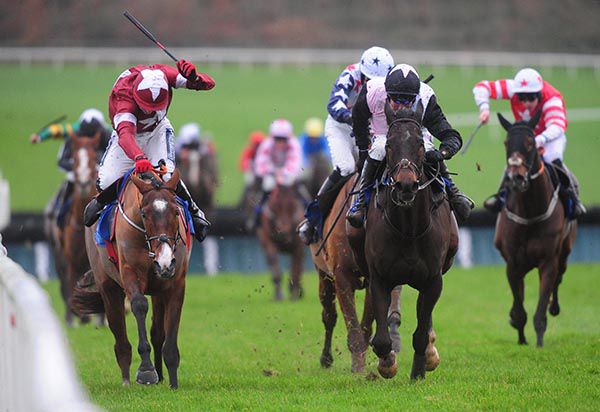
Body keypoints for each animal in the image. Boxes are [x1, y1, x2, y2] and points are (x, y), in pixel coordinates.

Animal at [73, 168, 191, 388]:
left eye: (176, 212)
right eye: (144, 214)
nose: (164, 261)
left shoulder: (175, 282)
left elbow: (169, 330)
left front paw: (173, 381)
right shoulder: (130, 273)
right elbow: (139, 305)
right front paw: (146, 371)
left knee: (157, 333)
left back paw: (161, 376)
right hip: (108, 287)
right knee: (119, 335)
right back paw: (126, 379)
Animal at [311, 174, 402, 373]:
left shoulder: (375, 280)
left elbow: (366, 327)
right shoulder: (341, 277)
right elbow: (352, 327)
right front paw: (358, 370)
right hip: (323, 276)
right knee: (329, 316)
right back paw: (326, 358)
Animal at [358, 105, 458, 380]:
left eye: (421, 145)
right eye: (389, 145)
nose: (405, 184)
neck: (409, 229)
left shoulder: (433, 280)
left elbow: (421, 334)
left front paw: (419, 371)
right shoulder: (379, 278)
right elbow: (382, 339)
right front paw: (387, 363)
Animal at [494, 112, 577, 347]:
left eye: (530, 143)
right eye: (506, 142)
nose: (516, 177)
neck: (530, 214)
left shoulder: (548, 261)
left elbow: (540, 311)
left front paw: (539, 345)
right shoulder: (512, 264)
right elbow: (519, 309)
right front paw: (521, 338)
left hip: (564, 252)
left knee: (559, 277)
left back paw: (553, 305)